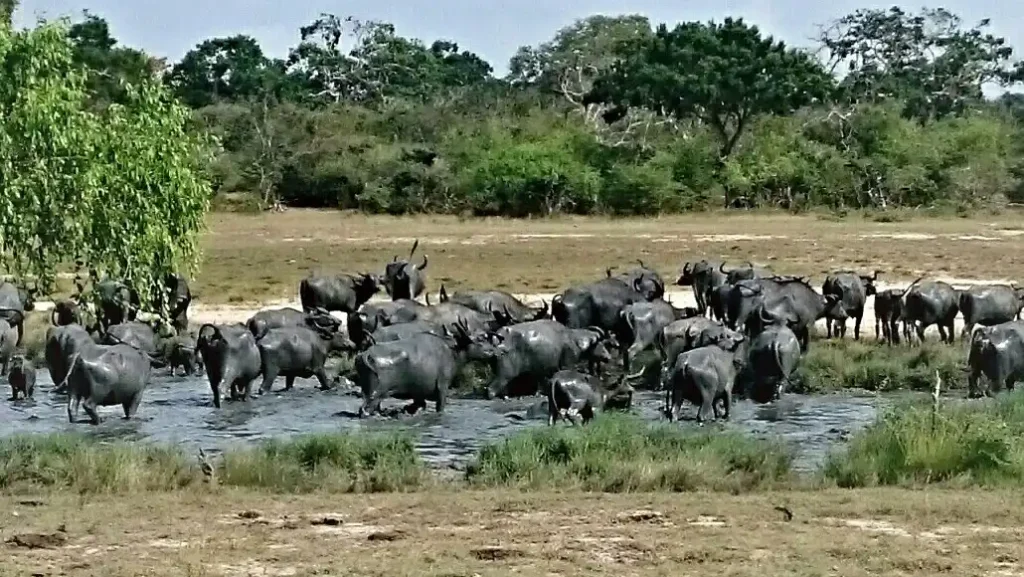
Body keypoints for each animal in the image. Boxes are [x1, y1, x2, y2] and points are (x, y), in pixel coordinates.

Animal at [354, 317, 493, 418]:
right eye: (480, 339)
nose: (493, 350)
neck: (452, 351)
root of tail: (366, 354)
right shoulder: (442, 388)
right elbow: (440, 407)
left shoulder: (418, 394)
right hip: (375, 394)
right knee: (365, 409)